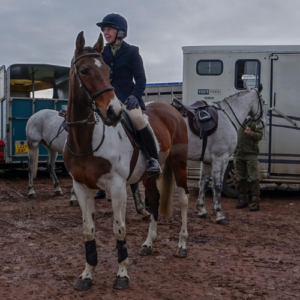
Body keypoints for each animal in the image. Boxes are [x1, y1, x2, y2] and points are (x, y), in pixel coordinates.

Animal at [63, 32, 190, 290]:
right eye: (84, 70)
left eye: (108, 70)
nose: (113, 111)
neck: (85, 141)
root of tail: (172, 109)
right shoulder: (81, 187)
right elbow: (88, 230)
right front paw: (87, 274)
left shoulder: (117, 186)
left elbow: (119, 229)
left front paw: (122, 274)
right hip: (149, 175)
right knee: (154, 200)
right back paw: (149, 243)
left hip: (179, 165)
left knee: (183, 200)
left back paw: (182, 244)